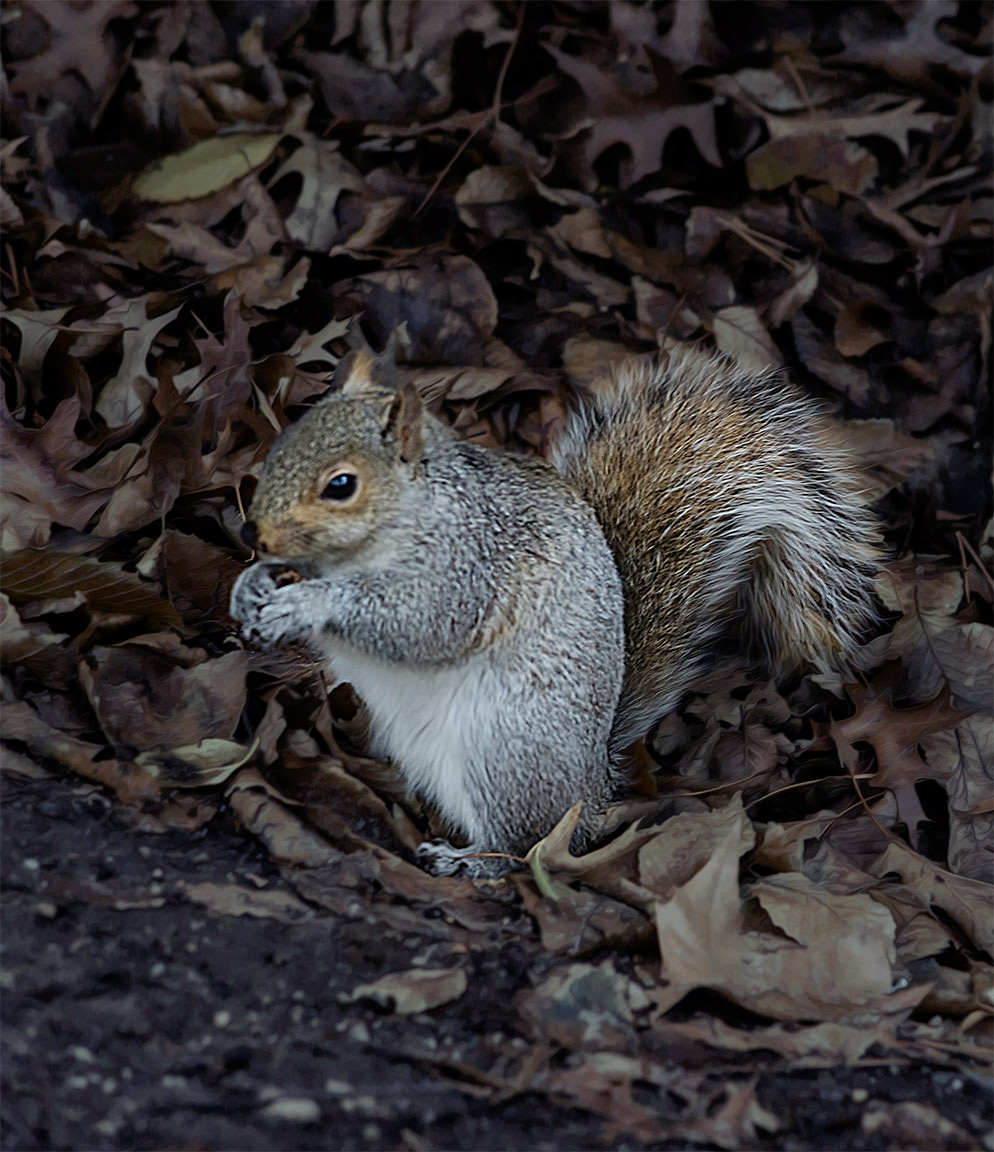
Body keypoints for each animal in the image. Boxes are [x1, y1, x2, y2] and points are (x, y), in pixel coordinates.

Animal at [230, 338, 879, 878]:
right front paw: (252, 584)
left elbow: (420, 625)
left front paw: (306, 603)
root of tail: (592, 787)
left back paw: (471, 861)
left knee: (523, 844)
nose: (255, 534)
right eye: (284, 442)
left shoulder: (468, 568)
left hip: (504, 751)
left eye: (341, 485)